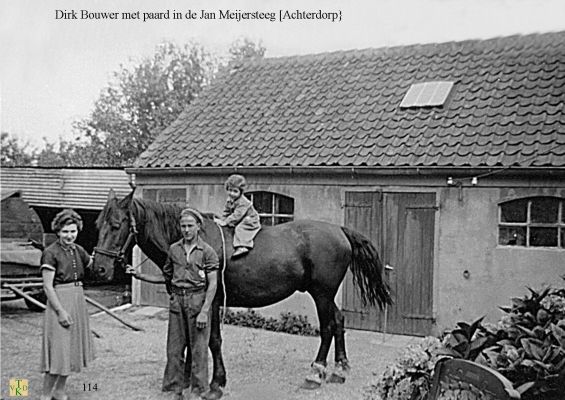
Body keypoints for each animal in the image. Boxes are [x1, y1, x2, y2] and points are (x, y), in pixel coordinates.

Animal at [93, 191, 392, 396]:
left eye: (117, 225)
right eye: (98, 224)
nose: (99, 268)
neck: (193, 241)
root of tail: (339, 230)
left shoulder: (212, 302)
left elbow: (213, 340)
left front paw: (216, 383)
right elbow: (190, 339)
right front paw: (189, 379)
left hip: (321, 294)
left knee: (328, 327)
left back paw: (316, 373)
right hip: (326, 295)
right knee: (339, 321)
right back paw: (340, 369)